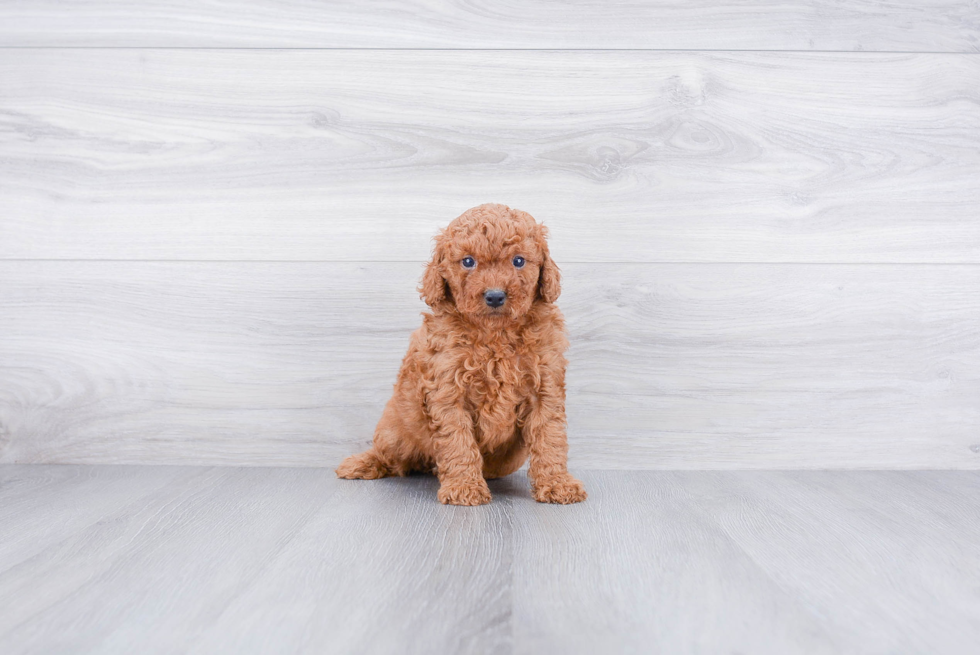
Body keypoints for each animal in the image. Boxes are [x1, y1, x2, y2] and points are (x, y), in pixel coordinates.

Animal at [336, 205, 584, 508]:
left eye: (518, 261)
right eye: (468, 262)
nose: (495, 296)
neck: (495, 334)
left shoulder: (544, 386)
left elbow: (550, 437)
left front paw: (557, 482)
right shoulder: (448, 391)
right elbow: (458, 440)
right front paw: (465, 487)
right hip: (395, 430)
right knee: (388, 454)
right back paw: (361, 463)